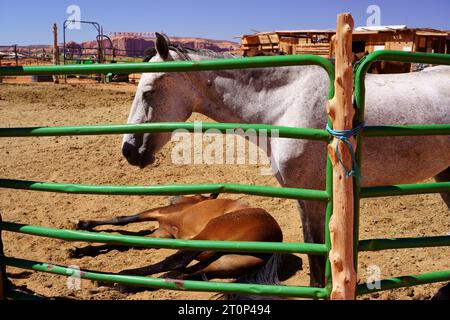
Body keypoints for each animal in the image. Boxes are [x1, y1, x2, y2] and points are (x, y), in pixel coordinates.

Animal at [122, 33, 450, 290]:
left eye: (148, 92)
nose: (128, 150)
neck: (285, 104)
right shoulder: (304, 199)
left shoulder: (316, 199)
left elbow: (318, 258)